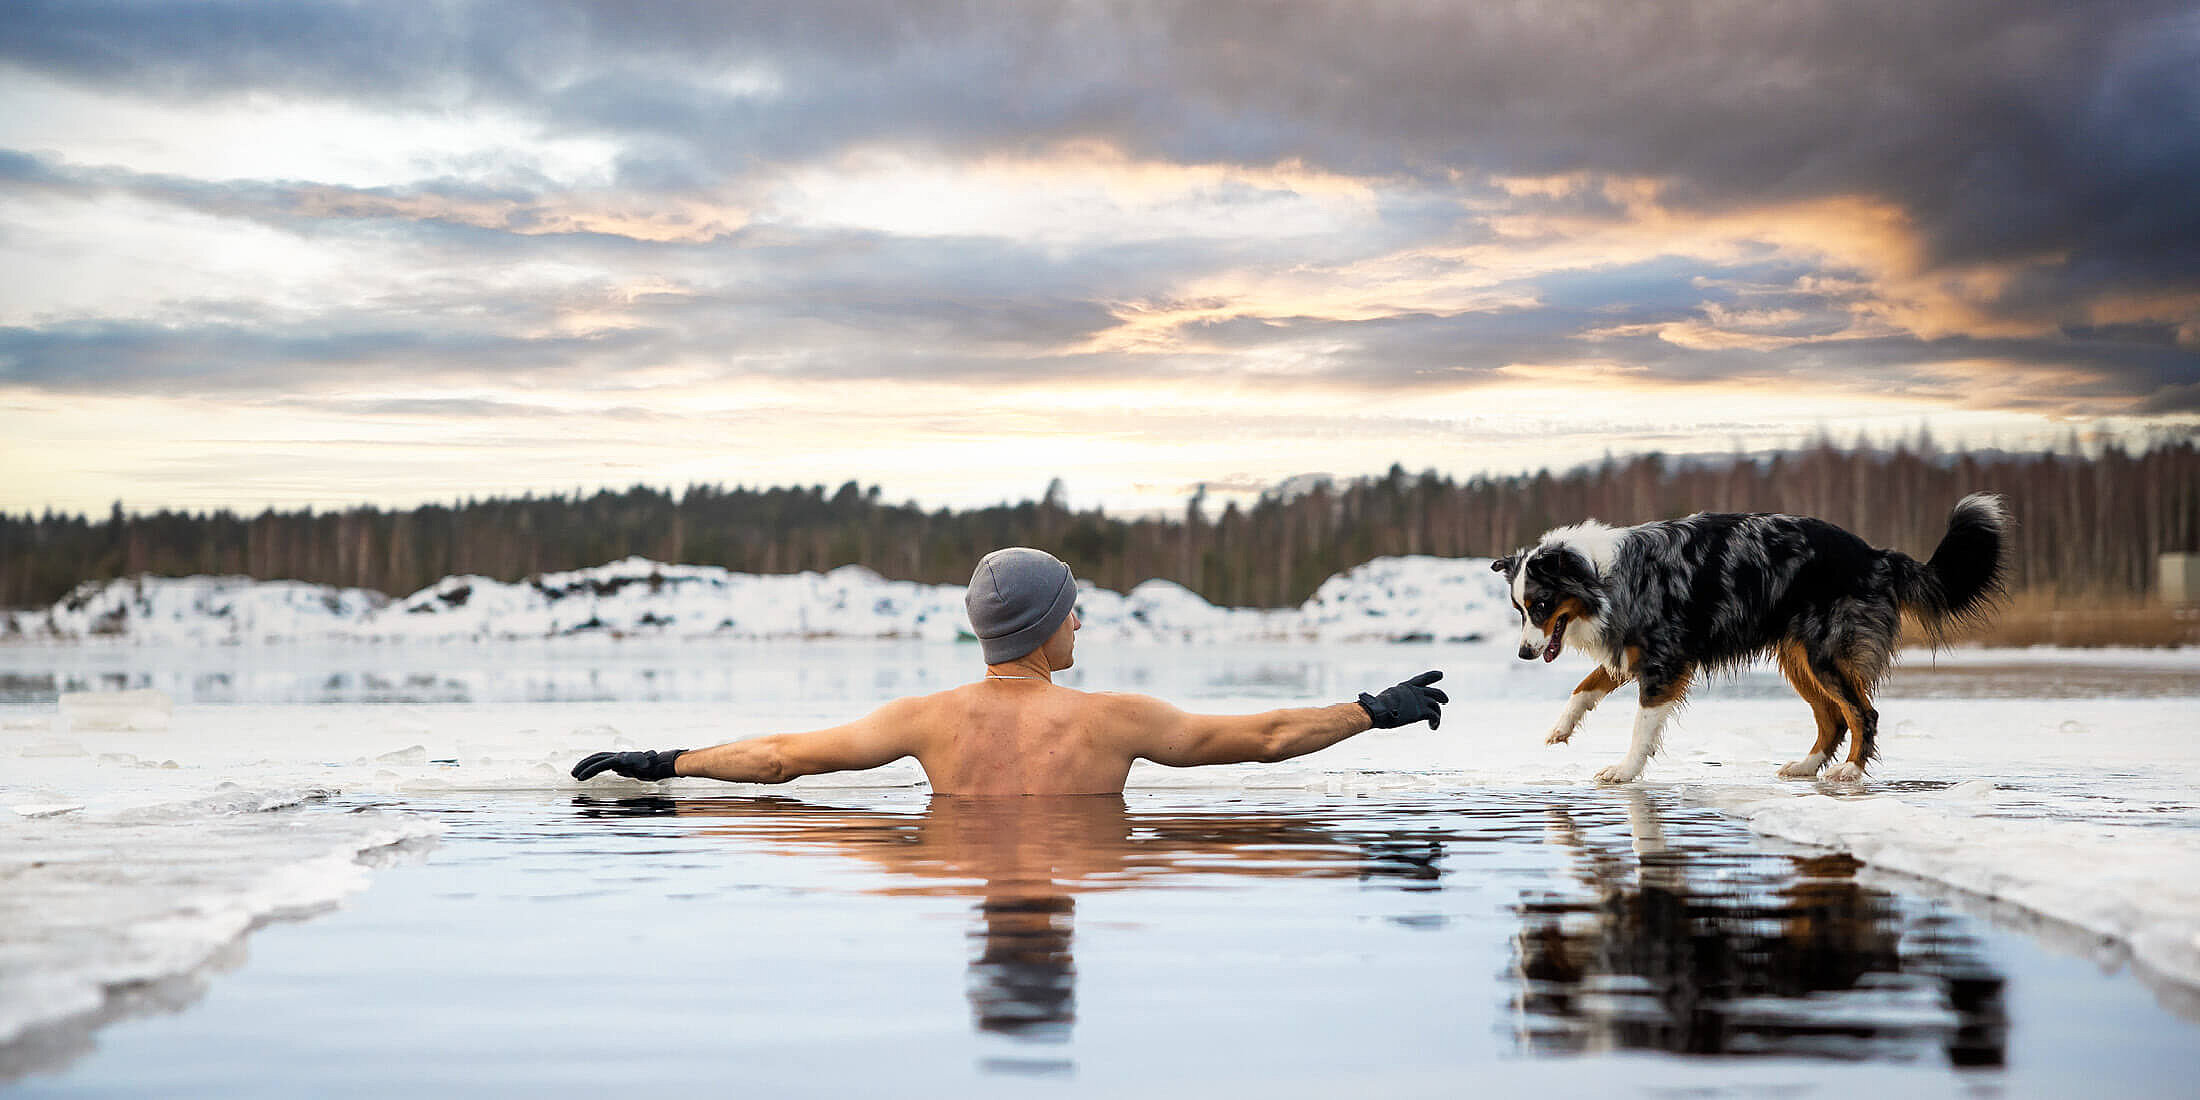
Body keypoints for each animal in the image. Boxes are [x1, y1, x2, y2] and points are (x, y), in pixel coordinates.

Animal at [1496, 495, 2015, 787]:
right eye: (1519, 609)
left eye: (1541, 605)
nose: (1523, 652)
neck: (1600, 574)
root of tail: (1876, 554)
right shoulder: (1633, 650)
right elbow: (1583, 687)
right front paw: (1560, 728)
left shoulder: (1663, 660)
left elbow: (1641, 726)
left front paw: (1624, 771)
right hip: (1798, 657)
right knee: (1833, 718)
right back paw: (1807, 767)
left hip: (1823, 652)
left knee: (1861, 712)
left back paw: (1850, 771)